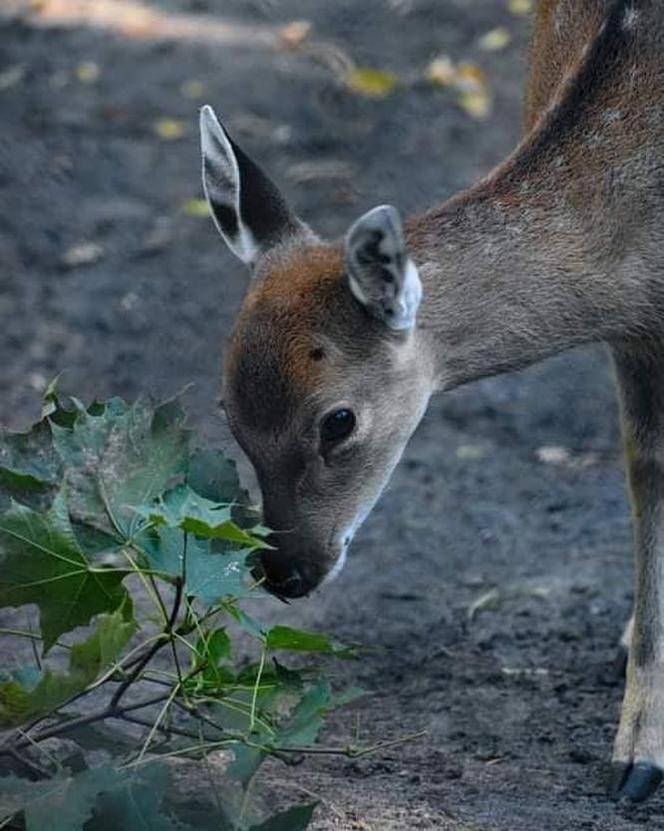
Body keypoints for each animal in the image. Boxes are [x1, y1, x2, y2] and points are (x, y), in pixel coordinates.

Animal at [198, 0, 664, 808]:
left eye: (339, 420)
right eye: (229, 412)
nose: (283, 572)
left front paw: (641, 757)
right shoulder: (632, 337)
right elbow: (645, 472)